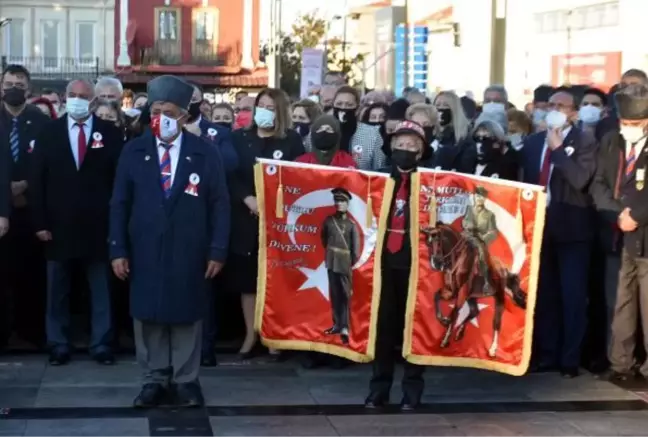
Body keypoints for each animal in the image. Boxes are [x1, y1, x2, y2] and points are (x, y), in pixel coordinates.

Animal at [422, 223, 524, 356]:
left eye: (439, 241)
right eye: (428, 243)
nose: (436, 264)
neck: (457, 261)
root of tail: (503, 268)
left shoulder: (461, 293)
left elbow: (454, 312)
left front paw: (445, 339)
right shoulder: (451, 291)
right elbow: (436, 296)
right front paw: (444, 321)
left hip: (498, 296)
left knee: (496, 322)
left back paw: (492, 349)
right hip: (472, 297)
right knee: (474, 311)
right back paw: (460, 333)